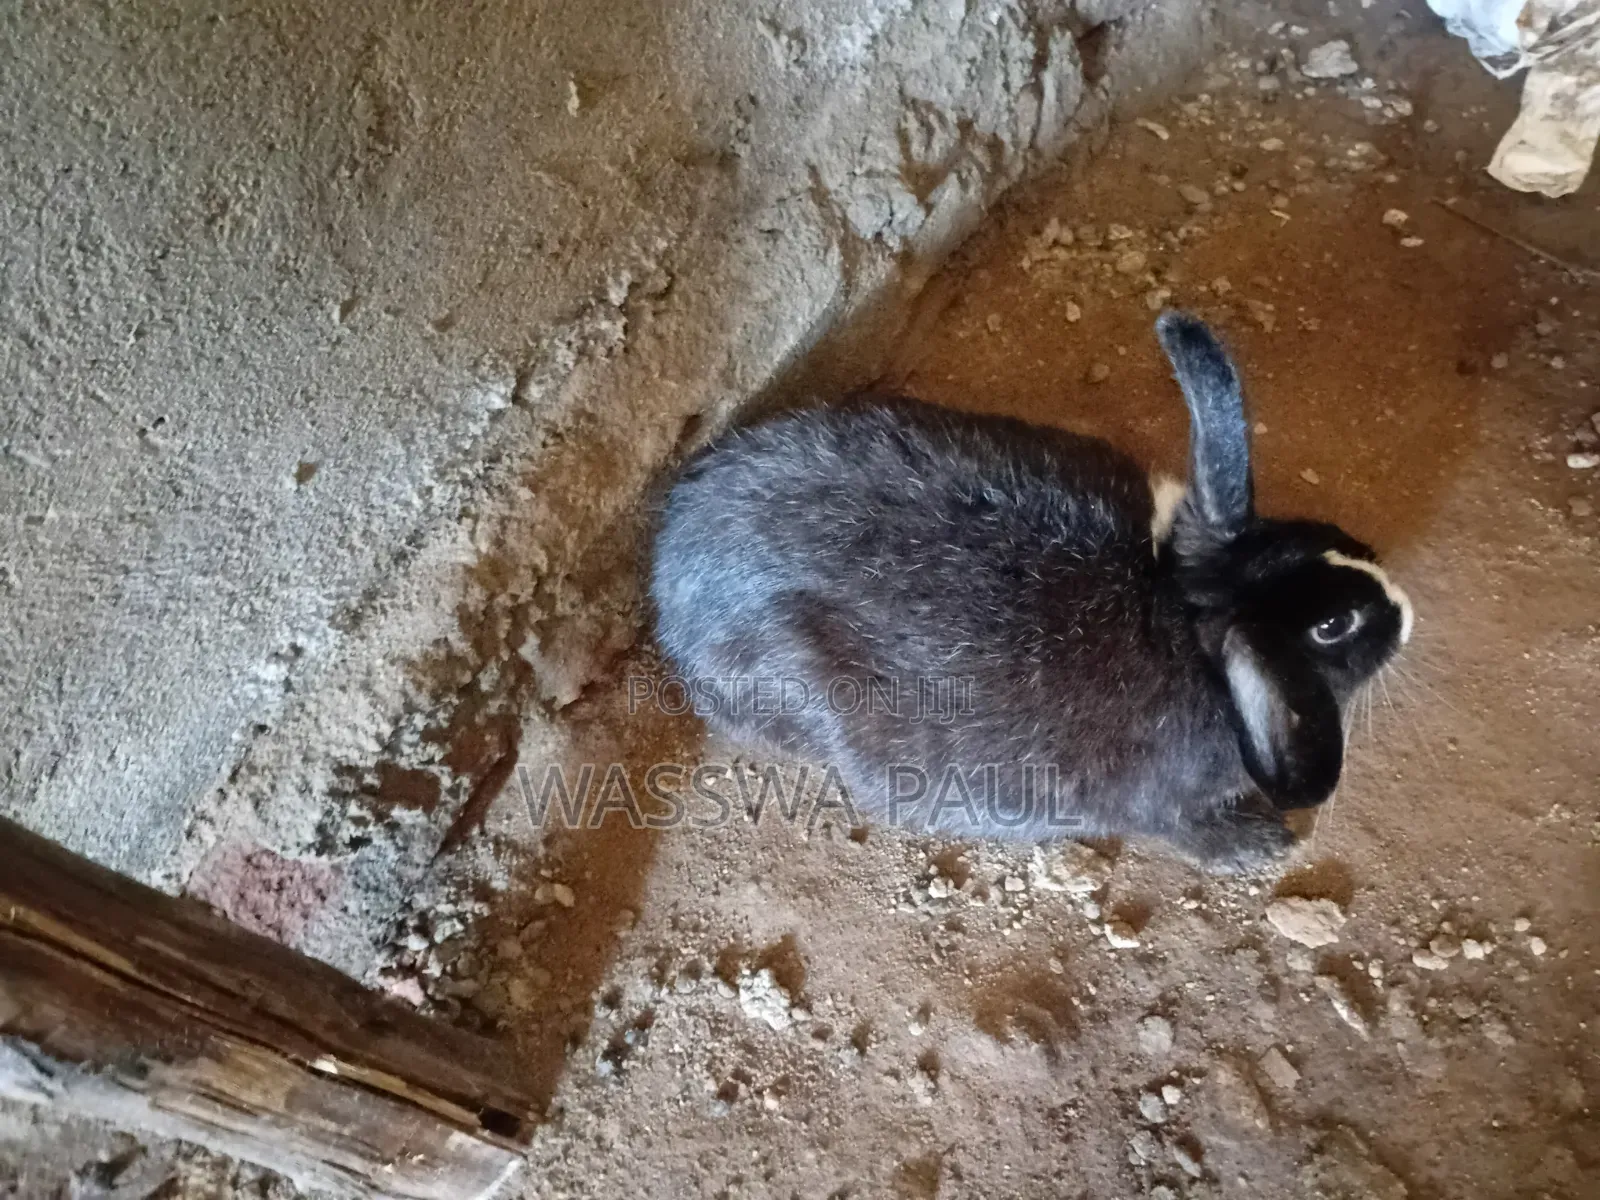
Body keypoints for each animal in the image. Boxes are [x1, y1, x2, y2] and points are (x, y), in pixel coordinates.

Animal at [648, 311, 1412, 873]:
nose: (1403, 611)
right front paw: (1261, 845)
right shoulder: (1159, 804)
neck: (1178, 618)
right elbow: (1181, 830)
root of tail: (666, 565)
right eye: (1334, 626)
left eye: (1310, 534)